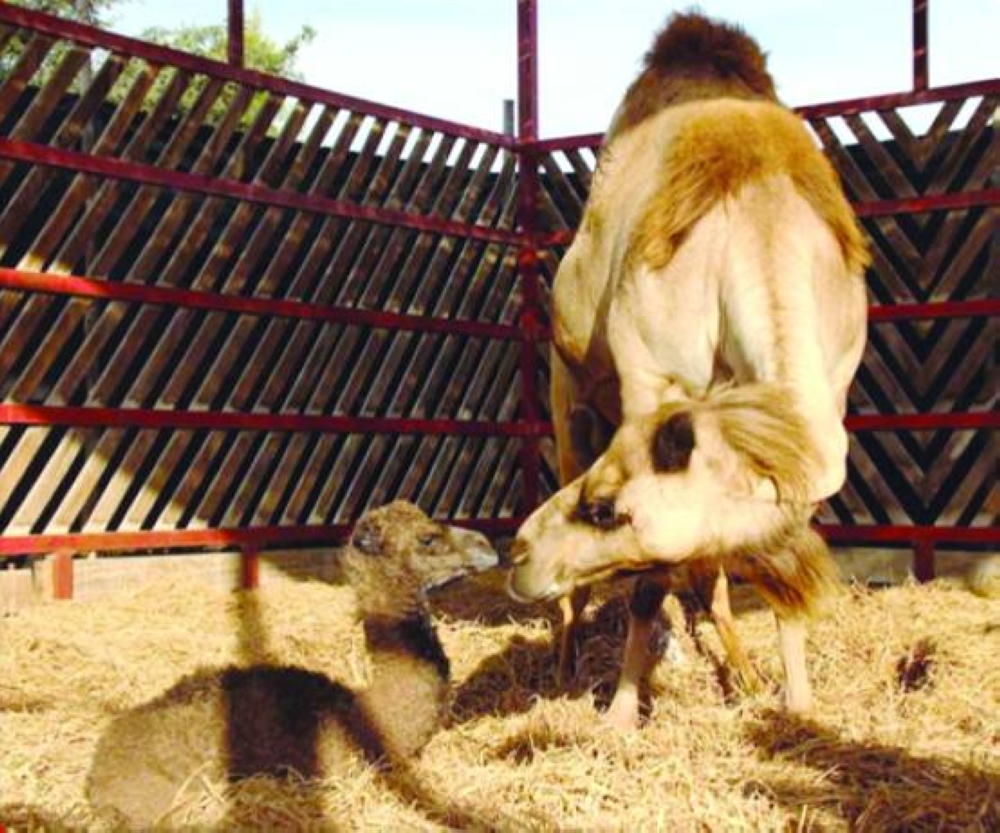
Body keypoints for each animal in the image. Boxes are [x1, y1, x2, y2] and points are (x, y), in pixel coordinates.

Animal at [508, 13, 868, 728]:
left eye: (604, 510)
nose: (522, 549)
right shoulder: (648, 385)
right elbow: (650, 586)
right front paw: (621, 714)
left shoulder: (819, 405)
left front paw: (795, 701)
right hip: (568, 403)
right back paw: (564, 664)